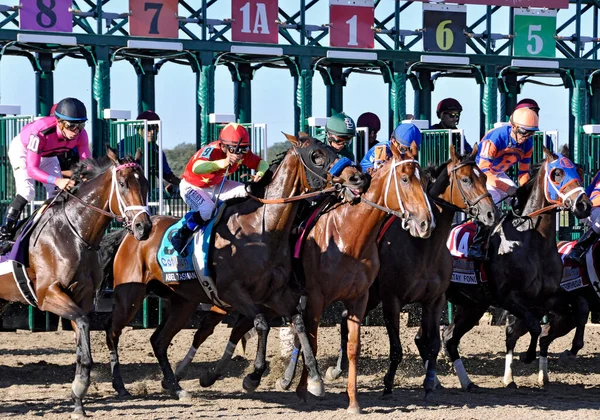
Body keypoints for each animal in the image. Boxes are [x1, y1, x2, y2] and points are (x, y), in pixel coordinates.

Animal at [0, 149, 152, 418]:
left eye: (144, 183)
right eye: (123, 184)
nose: (144, 227)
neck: (73, 235)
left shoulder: (82, 297)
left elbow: (82, 347)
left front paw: (78, 399)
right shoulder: (48, 295)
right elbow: (83, 325)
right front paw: (80, 389)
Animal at [101, 133, 368, 398]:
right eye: (317, 155)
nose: (357, 178)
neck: (263, 228)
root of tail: (130, 232)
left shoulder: (277, 294)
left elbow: (299, 324)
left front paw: (314, 378)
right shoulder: (233, 292)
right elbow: (261, 325)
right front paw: (253, 375)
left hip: (182, 302)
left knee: (158, 340)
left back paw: (176, 387)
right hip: (130, 295)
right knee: (112, 330)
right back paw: (120, 385)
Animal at [442, 148, 592, 390]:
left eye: (578, 170)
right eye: (557, 173)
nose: (584, 205)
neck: (532, 240)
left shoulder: (546, 297)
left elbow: (577, 308)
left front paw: (570, 349)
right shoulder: (507, 297)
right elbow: (531, 327)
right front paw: (526, 357)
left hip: (471, 305)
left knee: (448, 337)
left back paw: (464, 382)